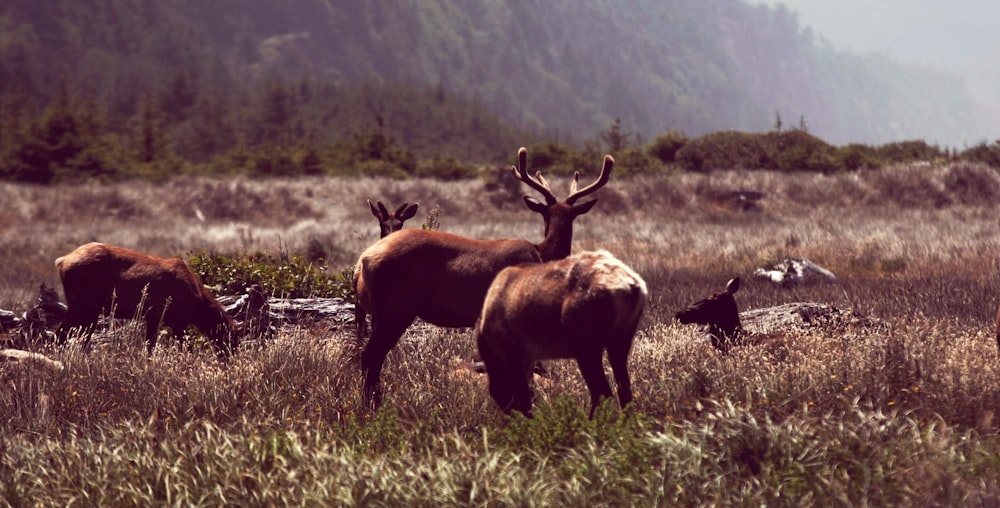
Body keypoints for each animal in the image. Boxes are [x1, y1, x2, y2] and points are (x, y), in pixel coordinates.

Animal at [55, 243, 239, 360]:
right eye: (231, 340)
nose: (230, 361)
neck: (198, 306)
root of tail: (62, 261)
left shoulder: (154, 317)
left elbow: (150, 347)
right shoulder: (178, 320)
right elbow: (184, 348)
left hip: (88, 308)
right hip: (84, 304)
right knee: (61, 335)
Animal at [474, 249, 648, 416]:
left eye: (497, 391)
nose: (510, 414)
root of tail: (632, 286)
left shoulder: (511, 352)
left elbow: (524, 398)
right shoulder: (527, 359)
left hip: (587, 348)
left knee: (601, 393)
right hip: (620, 341)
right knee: (624, 390)